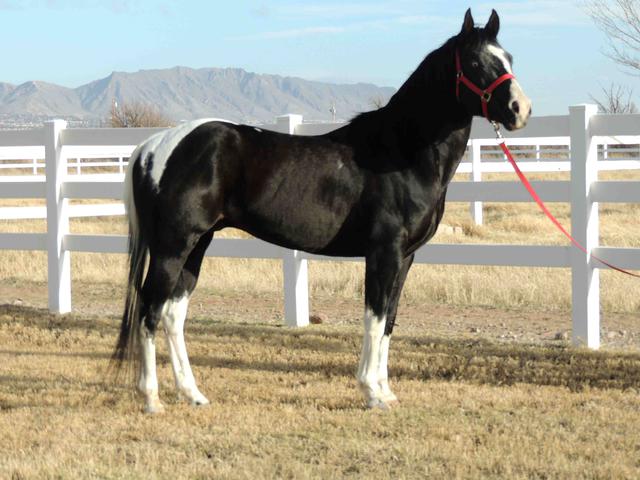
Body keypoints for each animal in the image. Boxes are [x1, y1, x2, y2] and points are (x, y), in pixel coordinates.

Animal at [114, 8, 528, 412]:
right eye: (475, 62)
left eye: (508, 57)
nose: (519, 109)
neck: (400, 153)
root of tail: (153, 146)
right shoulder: (384, 253)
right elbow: (374, 318)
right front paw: (372, 392)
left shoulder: (406, 257)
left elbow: (390, 320)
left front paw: (386, 391)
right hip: (172, 247)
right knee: (150, 311)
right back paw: (151, 398)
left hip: (197, 245)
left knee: (172, 313)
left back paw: (193, 394)